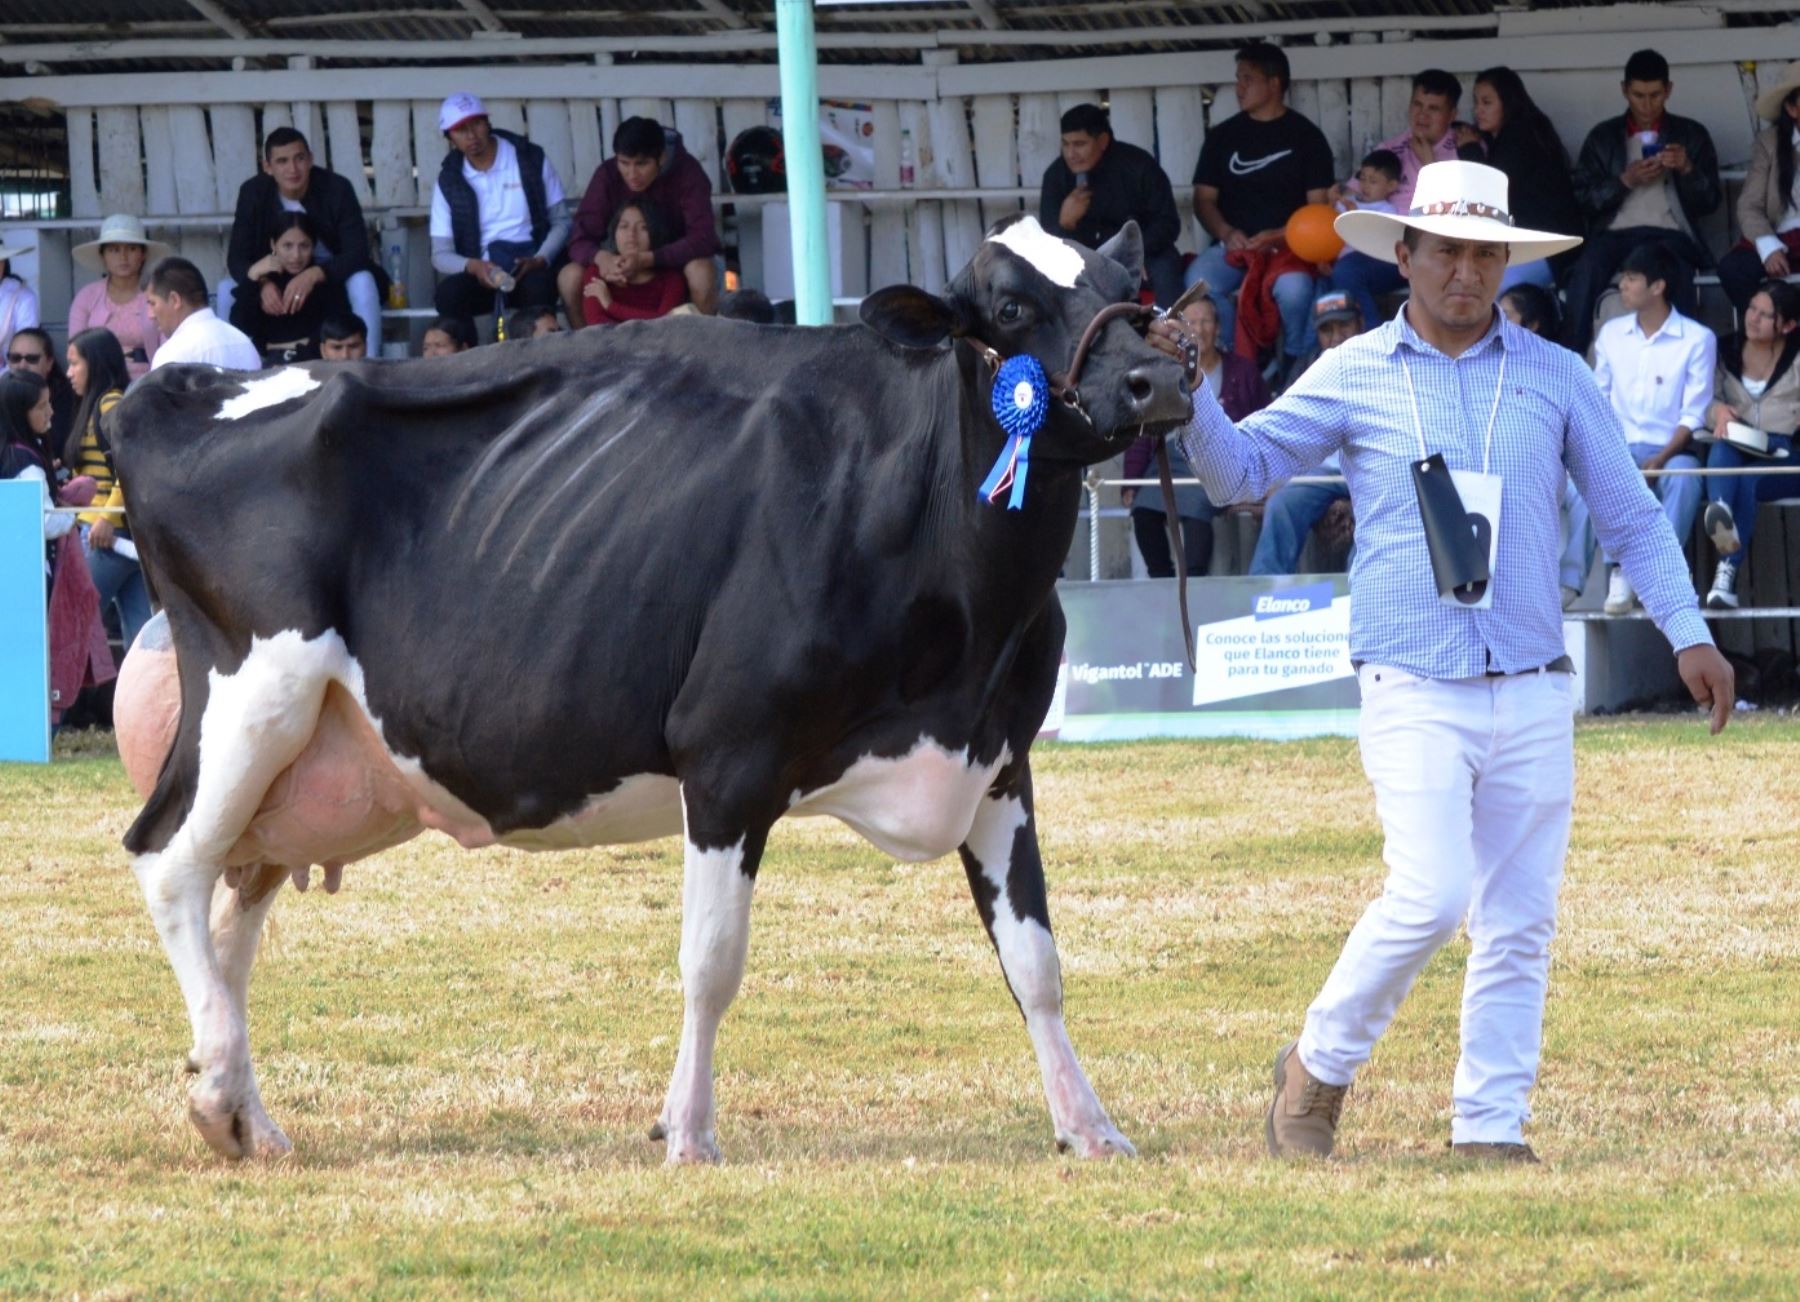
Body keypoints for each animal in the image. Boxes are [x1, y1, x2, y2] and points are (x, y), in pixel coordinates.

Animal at [105, 211, 1188, 1159]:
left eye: (1125, 285)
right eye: (1007, 307)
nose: (1161, 376)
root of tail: (185, 385)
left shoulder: (997, 758)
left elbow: (1036, 964)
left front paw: (1090, 1128)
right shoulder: (729, 756)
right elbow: (710, 963)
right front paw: (688, 1132)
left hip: (302, 763)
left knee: (234, 907)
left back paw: (245, 1114)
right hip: (254, 696)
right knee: (171, 862)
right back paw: (216, 1089)